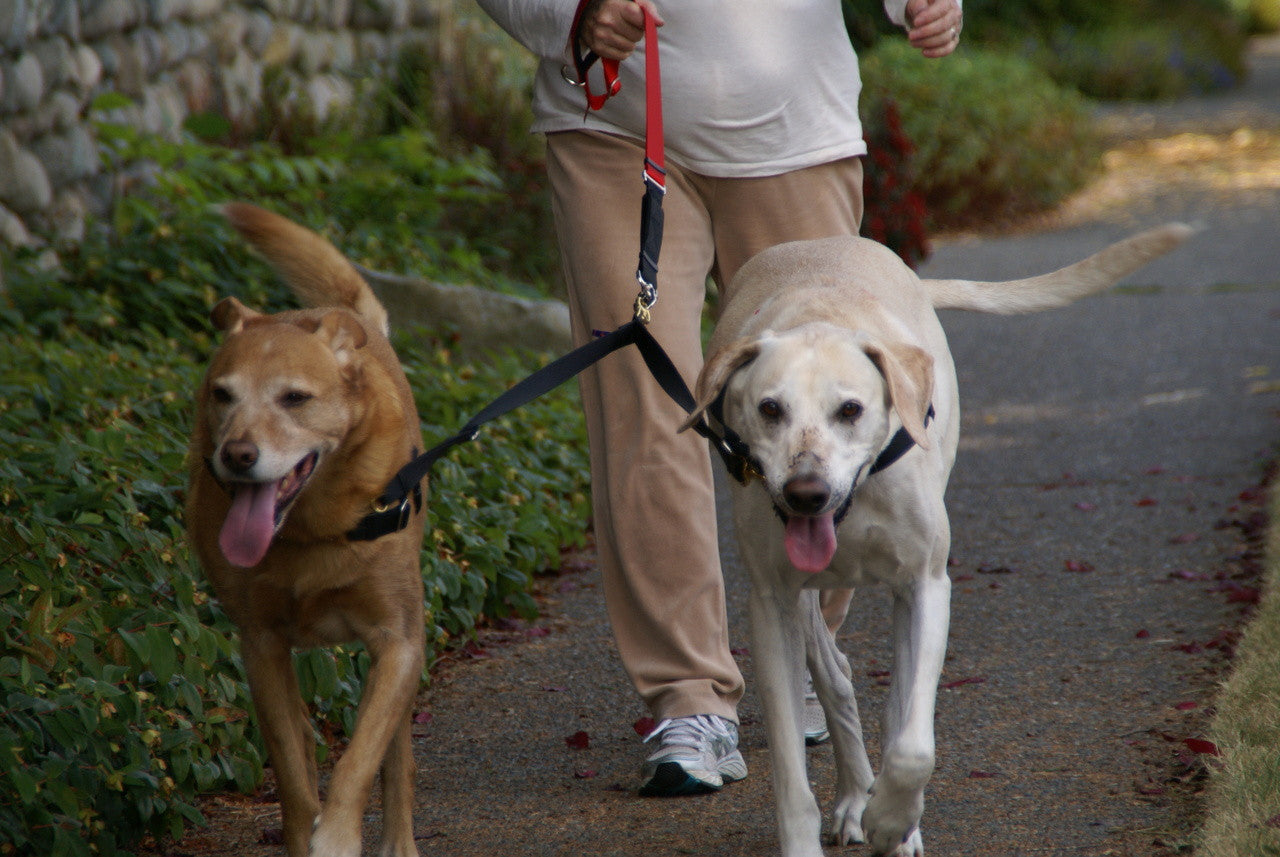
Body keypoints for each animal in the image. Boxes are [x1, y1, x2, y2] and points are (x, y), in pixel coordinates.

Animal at [186, 203, 424, 857]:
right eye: (222, 394)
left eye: (295, 398)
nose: (237, 455)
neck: (314, 528)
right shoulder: (261, 646)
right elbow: (294, 777)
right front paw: (309, 828)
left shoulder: (398, 643)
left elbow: (362, 758)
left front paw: (338, 834)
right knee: (301, 736)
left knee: (397, 757)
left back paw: (399, 841)